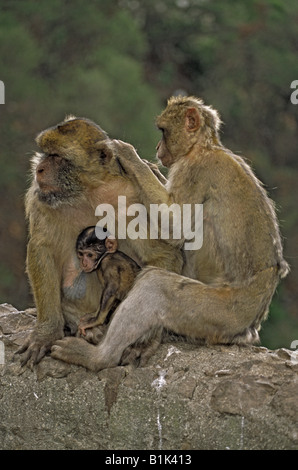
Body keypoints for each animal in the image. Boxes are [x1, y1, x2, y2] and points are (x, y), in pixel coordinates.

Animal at [18, 115, 183, 366]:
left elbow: (160, 253)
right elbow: (43, 248)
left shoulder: (129, 196)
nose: (39, 168)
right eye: (46, 153)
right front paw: (46, 333)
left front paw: (145, 341)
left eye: (57, 156)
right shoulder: (42, 198)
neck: (87, 190)